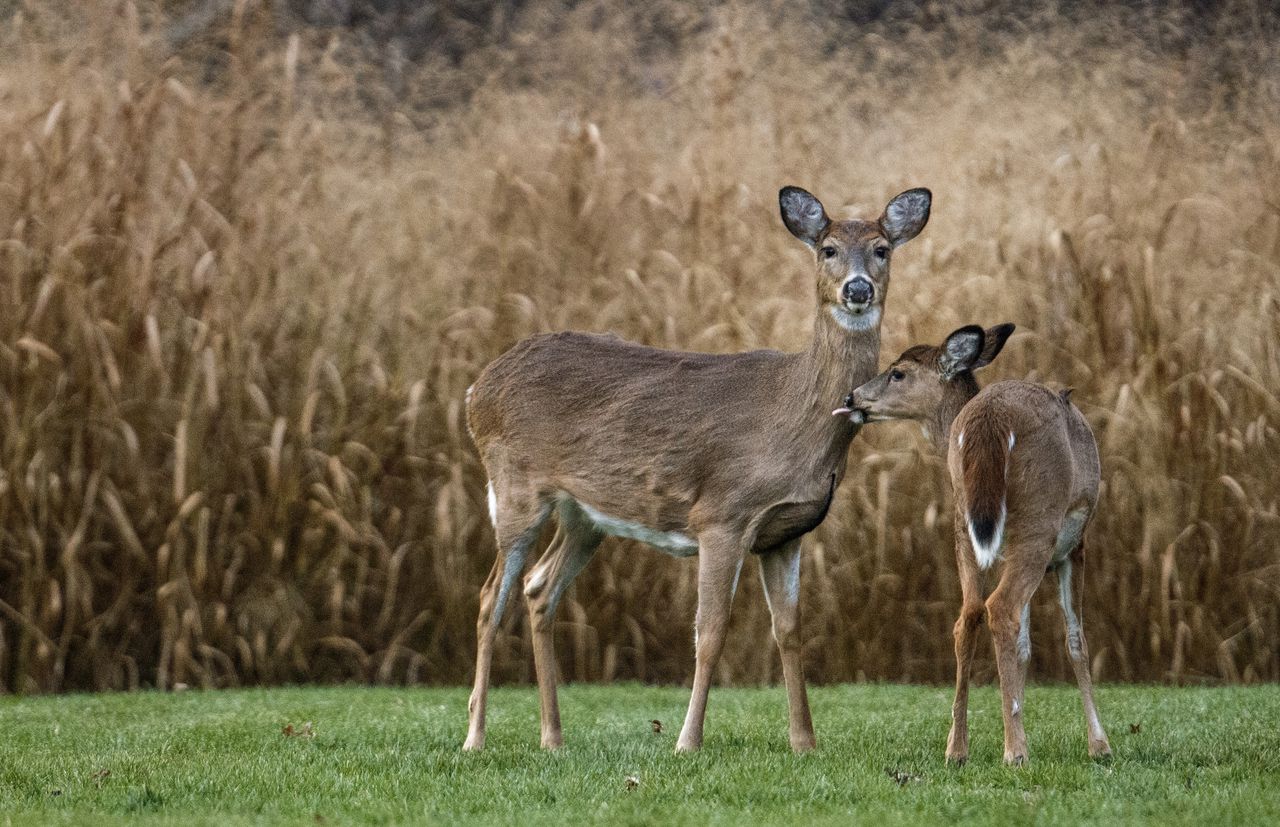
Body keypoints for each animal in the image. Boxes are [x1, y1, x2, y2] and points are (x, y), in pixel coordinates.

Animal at [462, 185, 932, 753]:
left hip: (584, 515)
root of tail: (477, 387)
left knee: (538, 588)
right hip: (515, 485)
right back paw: (475, 737)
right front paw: (687, 741)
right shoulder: (722, 515)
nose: (857, 288)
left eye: (882, 249)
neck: (797, 416)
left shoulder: (787, 532)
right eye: (829, 249)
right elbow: (709, 632)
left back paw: (553, 738)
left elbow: (790, 630)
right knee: (490, 597)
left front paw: (804, 742)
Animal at [836, 323, 1112, 765]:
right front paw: (1099, 745)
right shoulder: (1075, 545)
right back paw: (1014, 752)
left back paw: (957, 748)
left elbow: (1025, 645)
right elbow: (1075, 640)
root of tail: (988, 420)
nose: (851, 397)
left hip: (963, 522)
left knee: (968, 615)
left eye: (897, 373)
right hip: (1038, 519)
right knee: (1000, 608)